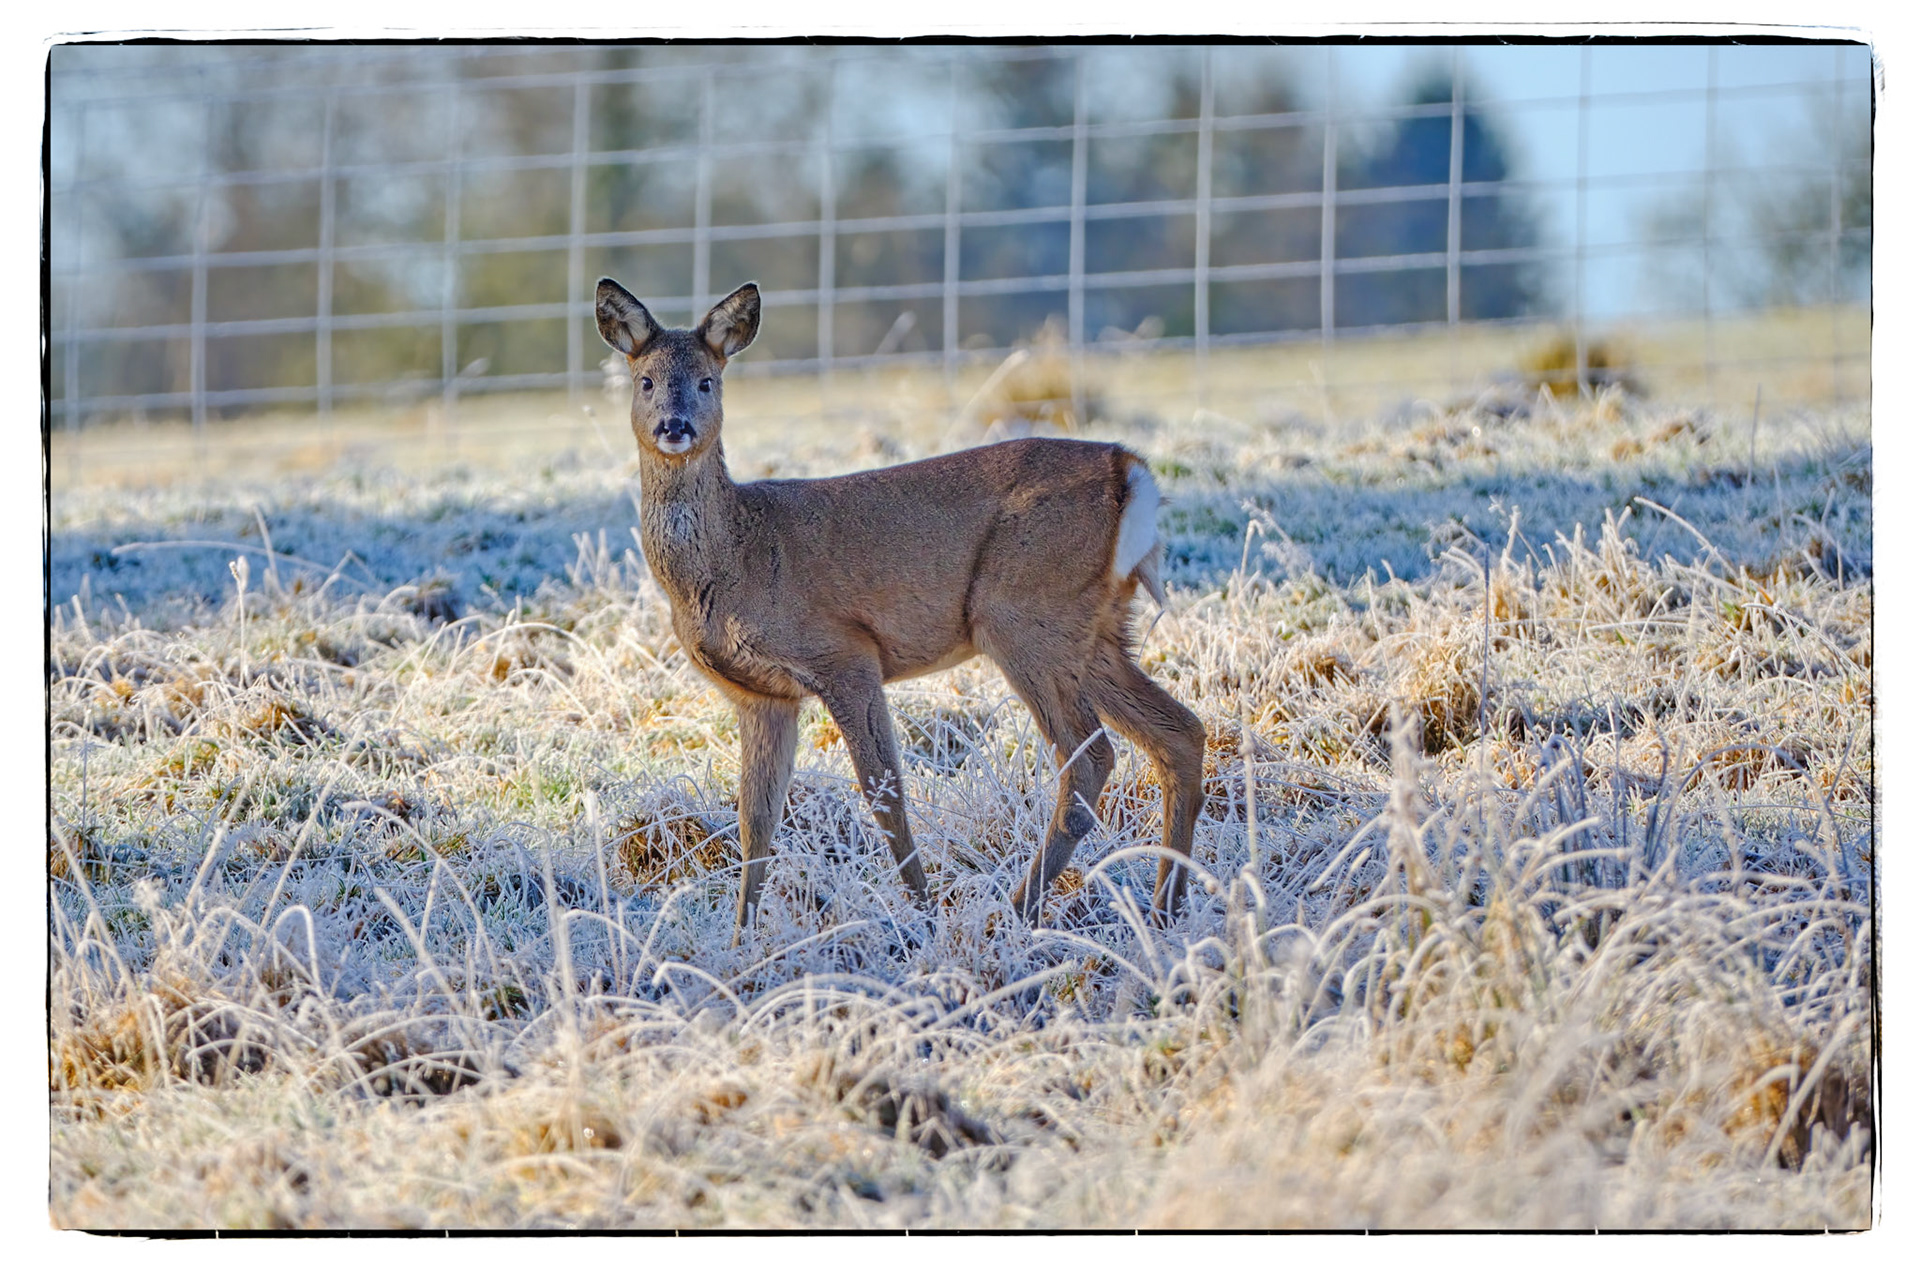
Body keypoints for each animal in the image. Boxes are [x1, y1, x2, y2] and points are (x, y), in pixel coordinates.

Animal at [596, 276, 1205, 946]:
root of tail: (1133, 474)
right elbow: (756, 823)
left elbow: (885, 797)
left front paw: (923, 916)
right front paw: (741, 943)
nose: (674, 426)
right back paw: (1164, 911)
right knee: (1180, 732)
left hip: (1022, 614)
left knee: (1092, 757)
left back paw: (1018, 913)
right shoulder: (762, 696)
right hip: (1092, 630)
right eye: (645, 380)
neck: (734, 559)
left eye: (708, 380)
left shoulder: (845, 654)